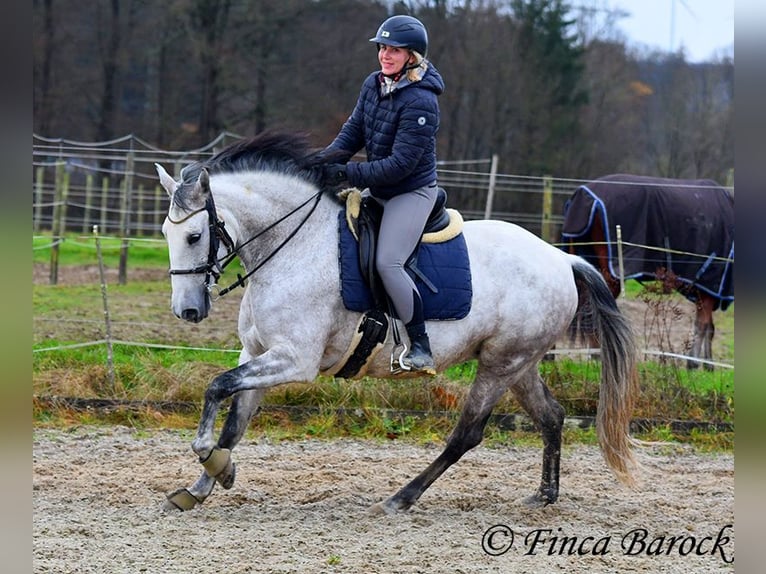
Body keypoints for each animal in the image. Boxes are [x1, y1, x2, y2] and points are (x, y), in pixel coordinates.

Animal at [158, 133, 640, 516]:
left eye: (195, 236)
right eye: (165, 233)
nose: (187, 312)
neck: (294, 247)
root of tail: (561, 258)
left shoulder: (294, 360)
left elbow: (217, 386)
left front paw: (207, 457)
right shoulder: (258, 353)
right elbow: (234, 422)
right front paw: (205, 483)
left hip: (501, 365)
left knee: (467, 434)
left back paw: (400, 498)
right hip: (518, 363)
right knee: (551, 416)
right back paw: (543, 495)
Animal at [560, 173, 736, 372]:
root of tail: (583, 194)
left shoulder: (705, 289)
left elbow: (709, 327)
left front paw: (708, 365)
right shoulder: (709, 284)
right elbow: (703, 325)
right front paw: (694, 364)